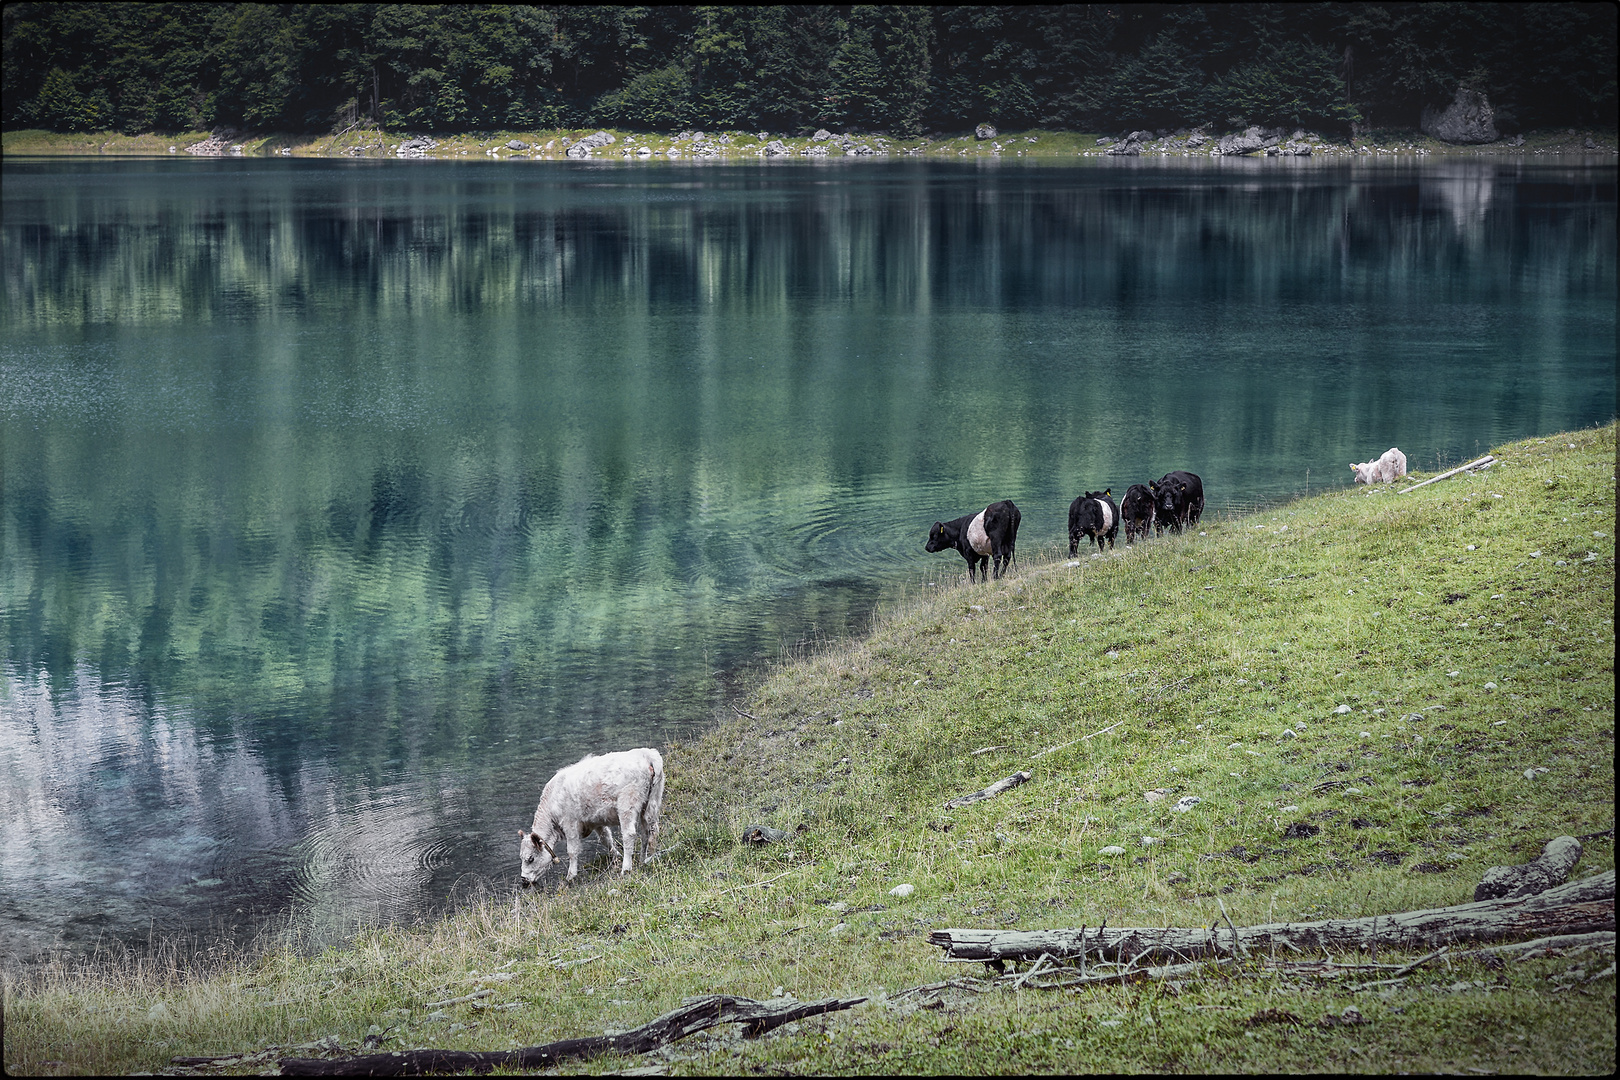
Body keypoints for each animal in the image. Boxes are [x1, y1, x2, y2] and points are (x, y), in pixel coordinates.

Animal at [521, 748, 667, 880]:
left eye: (530, 858)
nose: (523, 879)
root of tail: (646, 754)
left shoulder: (570, 823)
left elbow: (572, 850)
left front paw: (570, 876)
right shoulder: (596, 822)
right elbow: (606, 839)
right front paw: (616, 856)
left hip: (627, 806)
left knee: (629, 834)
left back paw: (626, 868)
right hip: (651, 804)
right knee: (649, 831)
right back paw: (645, 859)